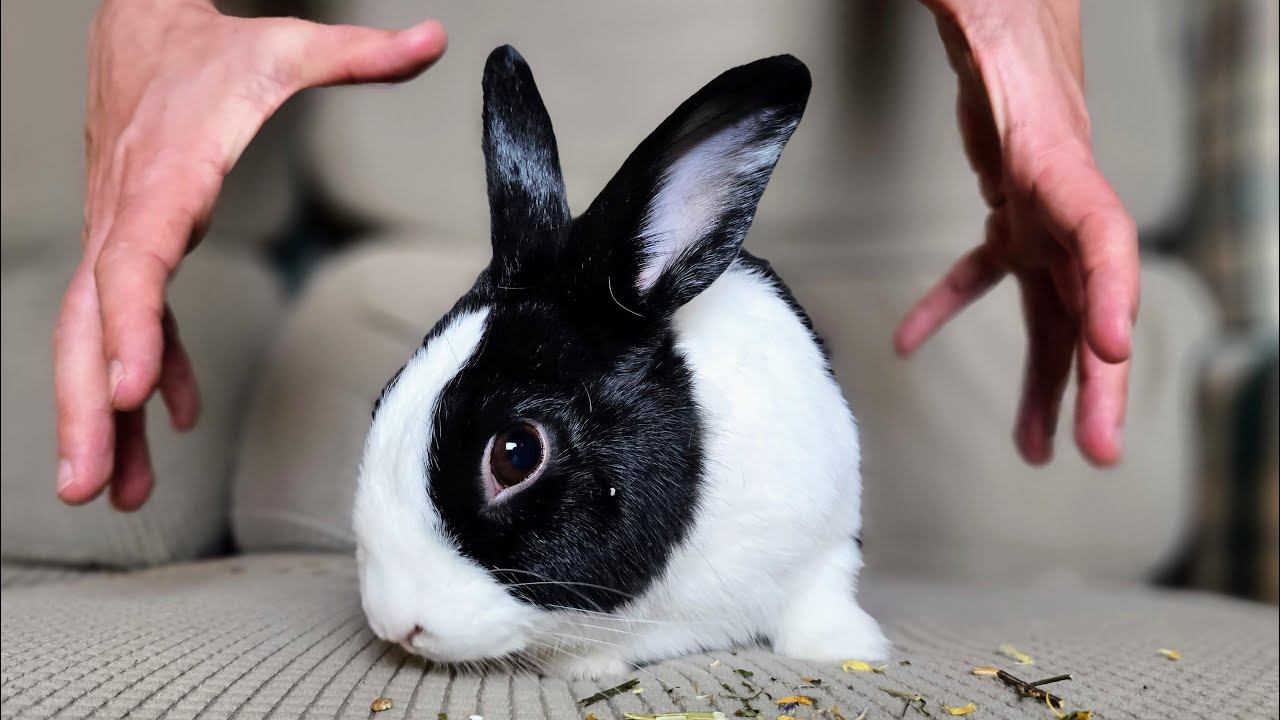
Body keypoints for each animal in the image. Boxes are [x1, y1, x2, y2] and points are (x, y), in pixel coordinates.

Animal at [352, 44, 889, 679]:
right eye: (383, 397)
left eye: (516, 453)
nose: (395, 623)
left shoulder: (830, 534)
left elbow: (822, 593)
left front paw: (848, 648)